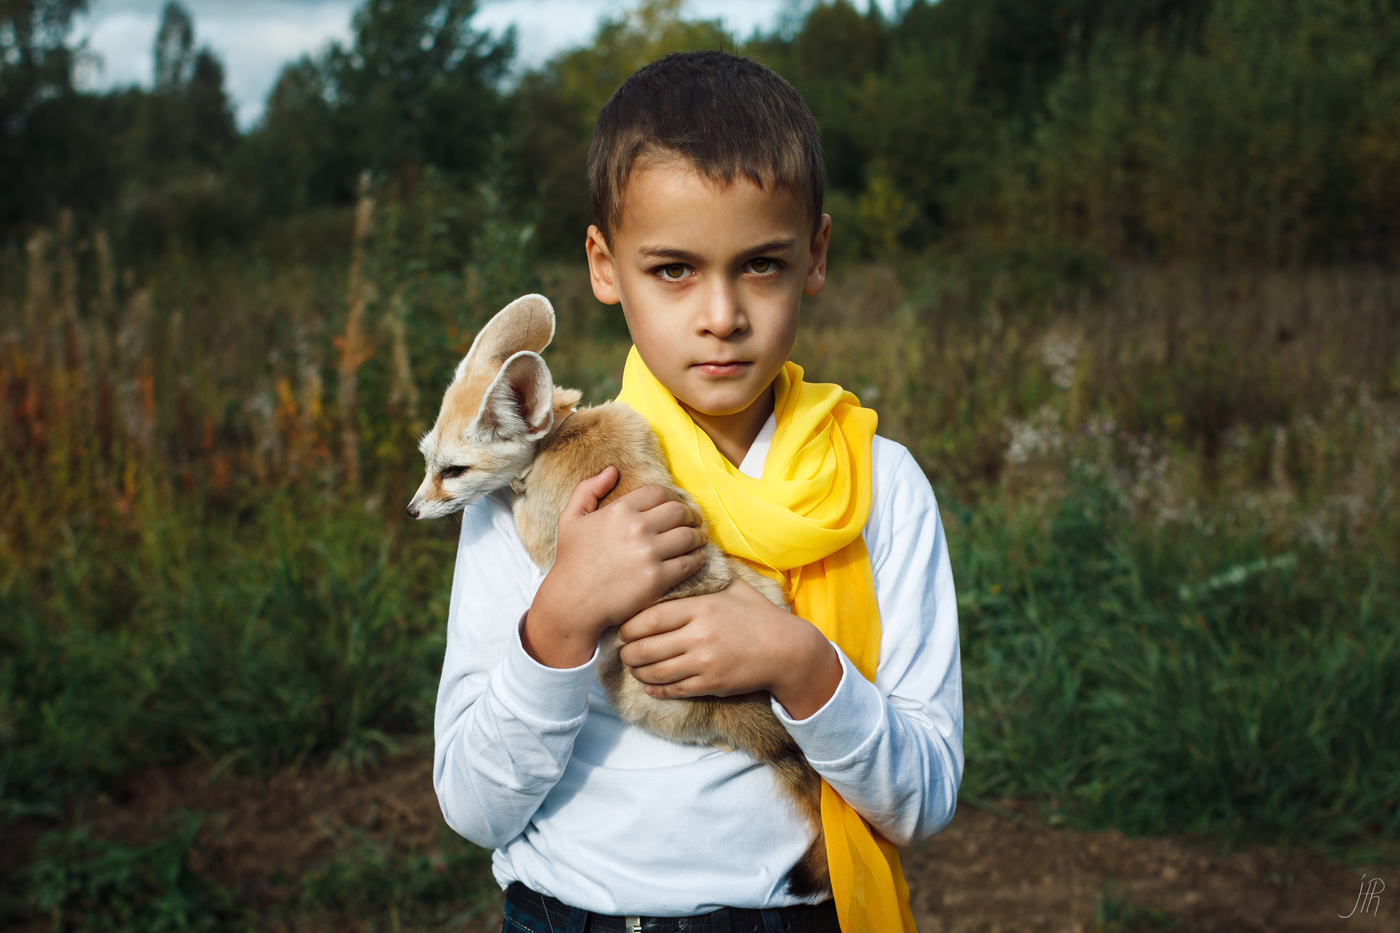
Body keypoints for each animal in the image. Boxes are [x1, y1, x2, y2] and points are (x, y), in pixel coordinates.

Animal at [406, 291, 823, 896]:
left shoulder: (541, 532)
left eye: (454, 471)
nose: (411, 511)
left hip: (619, 680)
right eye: (425, 462)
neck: (562, 436)